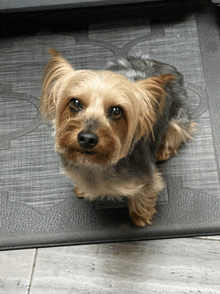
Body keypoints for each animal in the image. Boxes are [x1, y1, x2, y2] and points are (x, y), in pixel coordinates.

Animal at [39, 48, 194, 227]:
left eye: (116, 111)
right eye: (75, 103)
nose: (87, 138)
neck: (96, 164)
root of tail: (162, 64)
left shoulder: (145, 177)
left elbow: (143, 194)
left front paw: (140, 217)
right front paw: (81, 189)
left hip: (178, 116)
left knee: (177, 132)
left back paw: (163, 151)